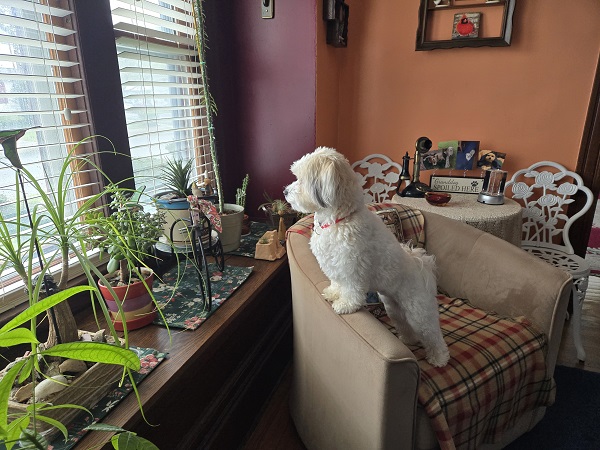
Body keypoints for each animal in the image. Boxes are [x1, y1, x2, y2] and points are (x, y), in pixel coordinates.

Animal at [286, 147, 450, 366]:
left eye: (301, 180)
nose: (285, 192)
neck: (340, 220)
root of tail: (419, 264)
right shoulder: (335, 267)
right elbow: (336, 283)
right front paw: (333, 293)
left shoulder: (352, 269)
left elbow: (352, 291)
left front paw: (345, 305)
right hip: (395, 308)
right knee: (405, 325)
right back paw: (408, 339)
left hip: (418, 310)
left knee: (432, 334)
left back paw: (439, 358)